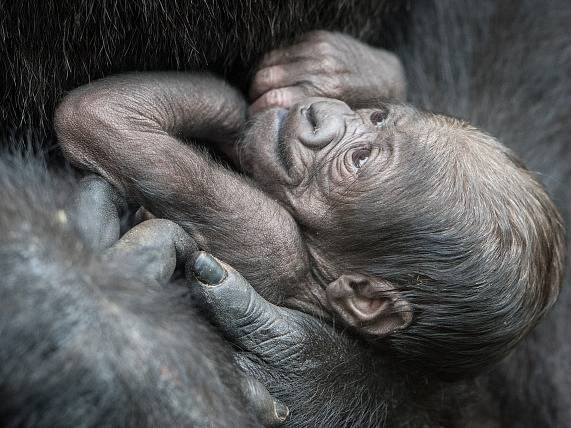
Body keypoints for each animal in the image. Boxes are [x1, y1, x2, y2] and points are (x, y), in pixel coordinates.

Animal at [54, 37, 568, 378]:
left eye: (359, 160)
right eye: (375, 117)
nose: (322, 114)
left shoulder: (272, 242)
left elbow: (103, 118)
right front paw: (341, 70)